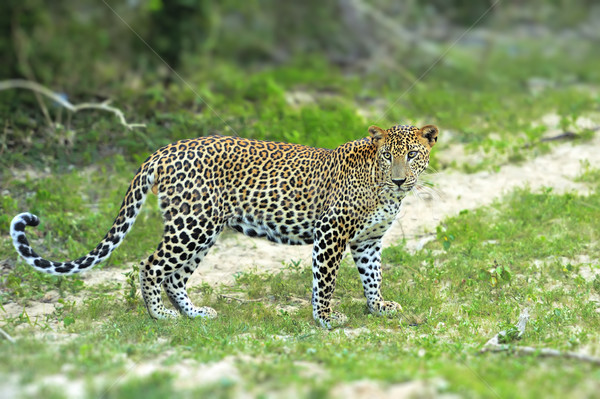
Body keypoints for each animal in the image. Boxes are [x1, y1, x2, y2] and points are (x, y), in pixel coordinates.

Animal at [9, 124, 438, 328]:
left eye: (413, 155)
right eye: (388, 155)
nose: (401, 180)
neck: (384, 189)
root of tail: (165, 150)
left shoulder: (368, 241)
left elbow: (373, 276)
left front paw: (378, 307)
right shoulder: (330, 233)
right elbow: (326, 282)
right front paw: (327, 319)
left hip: (203, 229)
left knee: (175, 276)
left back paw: (194, 315)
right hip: (191, 225)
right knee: (151, 265)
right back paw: (159, 316)